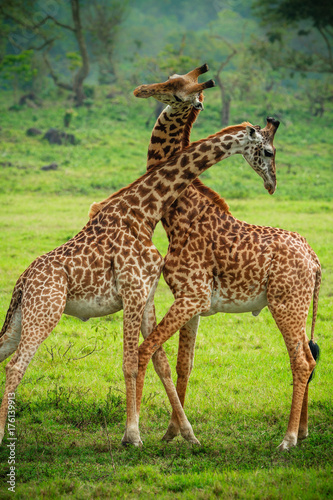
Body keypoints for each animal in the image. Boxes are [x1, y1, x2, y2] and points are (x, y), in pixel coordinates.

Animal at [0, 82, 276, 446]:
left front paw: (188, 434)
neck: (144, 211)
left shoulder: (145, 295)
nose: (272, 184)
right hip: (46, 311)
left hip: (21, 318)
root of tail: (22, 281)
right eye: (269, 151)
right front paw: (132, 434)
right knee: (16, 366)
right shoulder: (132, 291)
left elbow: (159, 361)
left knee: (3, 355)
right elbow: (130, 362)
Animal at [133, 67, 320, 454]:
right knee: (310, 359)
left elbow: (146, 350)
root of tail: (315, 262)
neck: (179, 214)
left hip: (286, 304)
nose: (141, 89)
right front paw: (173, 432)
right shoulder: (192, 302)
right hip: (300, 305)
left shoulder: (191, 296)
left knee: (300, 360)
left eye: (175, 88)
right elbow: (183, 365)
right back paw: (304, 431)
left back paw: (287, 439)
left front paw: (142, 433)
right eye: (170, 78)